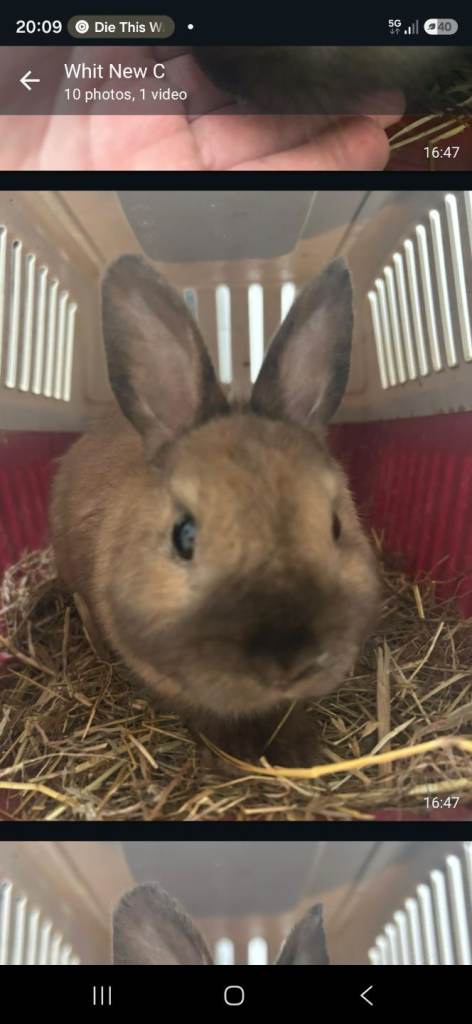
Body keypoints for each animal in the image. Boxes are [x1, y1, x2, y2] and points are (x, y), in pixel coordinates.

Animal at [49, 254, 380, 768]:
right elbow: (210, 713)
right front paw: (239, 752)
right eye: (184, 536)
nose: (286, 660)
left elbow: (287, 711)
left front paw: (299, 750)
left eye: (336, 525)